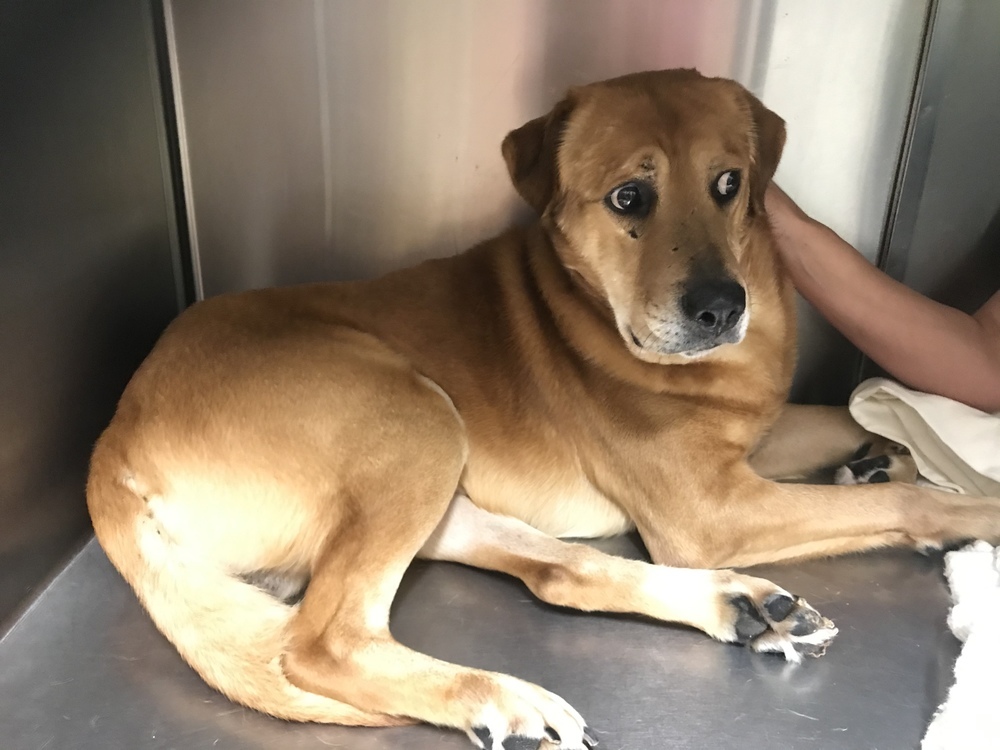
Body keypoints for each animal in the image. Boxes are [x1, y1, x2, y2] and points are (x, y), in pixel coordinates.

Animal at [86, 69, 1000, 748]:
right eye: (630, 198)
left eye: (729, 184)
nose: (720, 308)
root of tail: (112, 440)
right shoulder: (710, 510)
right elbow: (908, 501)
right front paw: (966, 502)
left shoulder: (747, 449)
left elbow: (843, 412)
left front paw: (883, 450)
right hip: (417, 420)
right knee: (321, 643)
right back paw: (500, 696)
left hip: (443, 487)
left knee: (562, 575)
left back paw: (736, 607)